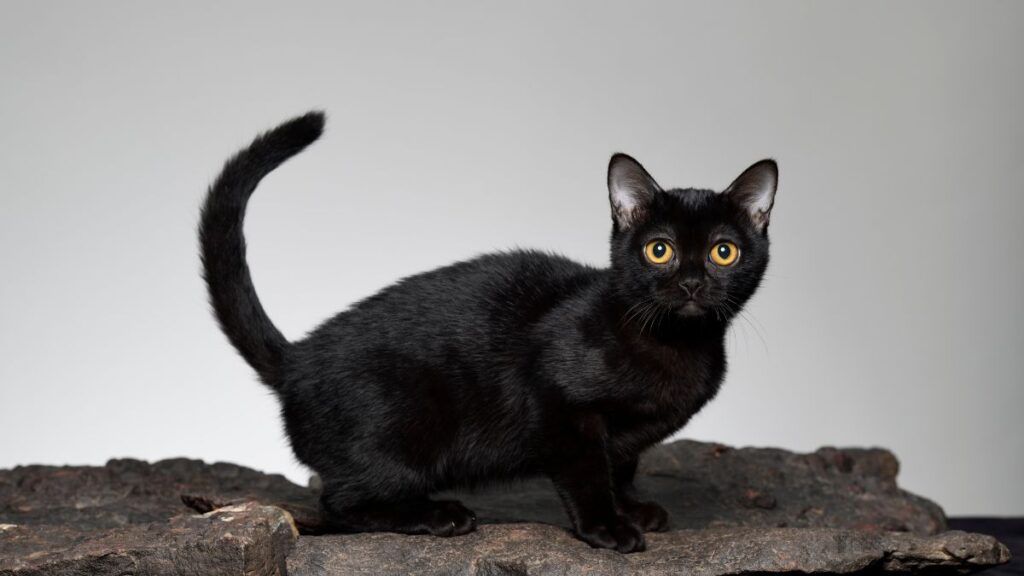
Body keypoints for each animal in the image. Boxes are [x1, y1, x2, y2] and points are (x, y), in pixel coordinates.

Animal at [197, 112, 774, 553]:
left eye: (724, 251)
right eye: (660, 250)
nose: (693, 282)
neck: (674, 346)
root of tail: (296, 360)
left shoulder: (623, 438)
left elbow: (622, 464)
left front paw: (632, 507)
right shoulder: (562, 407)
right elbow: (589, 471)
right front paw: (608, 527)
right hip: (403, 428)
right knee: (340, 504)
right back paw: (439, 515)